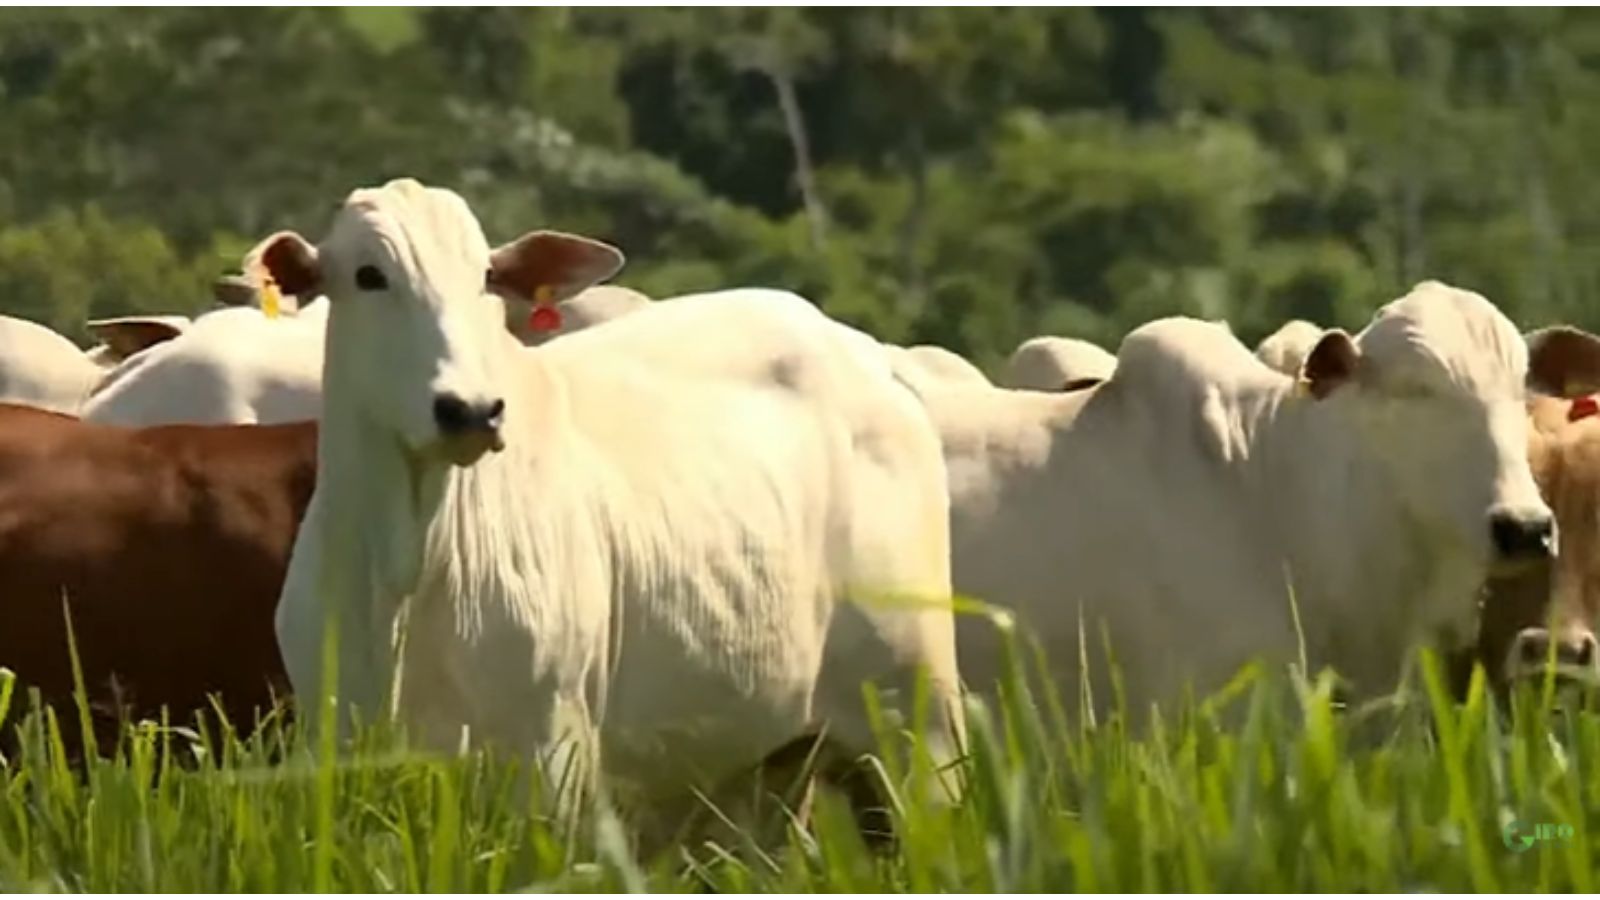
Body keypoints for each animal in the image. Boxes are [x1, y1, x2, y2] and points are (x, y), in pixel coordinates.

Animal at [262, 180, 960, 826]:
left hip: (919, 721)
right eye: (369, 275)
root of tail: (871, 356)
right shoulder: (336, 747)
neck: (406, 571)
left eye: (486, 277)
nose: (472, 410)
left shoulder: (550, 755)